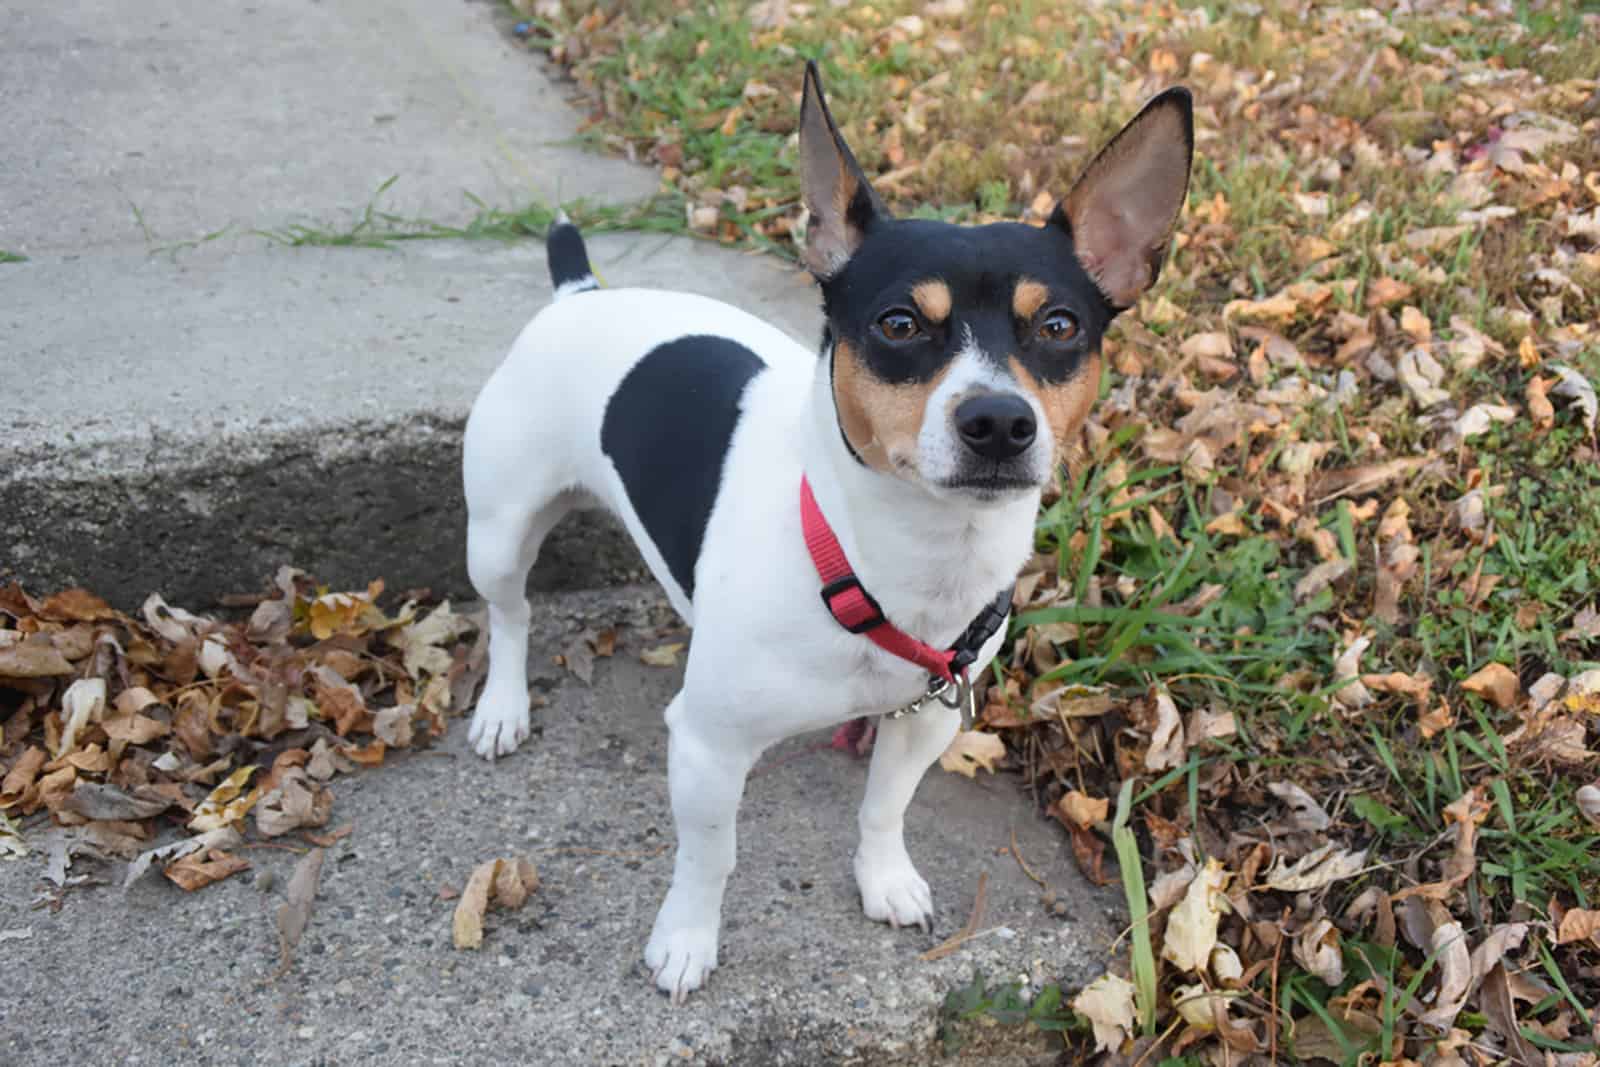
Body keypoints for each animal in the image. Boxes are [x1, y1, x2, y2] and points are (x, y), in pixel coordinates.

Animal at [460, 64, 1190, 1004]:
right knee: (510, 613)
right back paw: (504, 706)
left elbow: (884, 806)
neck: (890, 560)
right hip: (499, 529)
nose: (999, 420)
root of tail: (579, 295)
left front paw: (884, 878)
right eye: (898, 324)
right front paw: (686, 938)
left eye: (1059, 326)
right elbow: (710, 855)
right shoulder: (707, 745)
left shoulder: (923, 721)